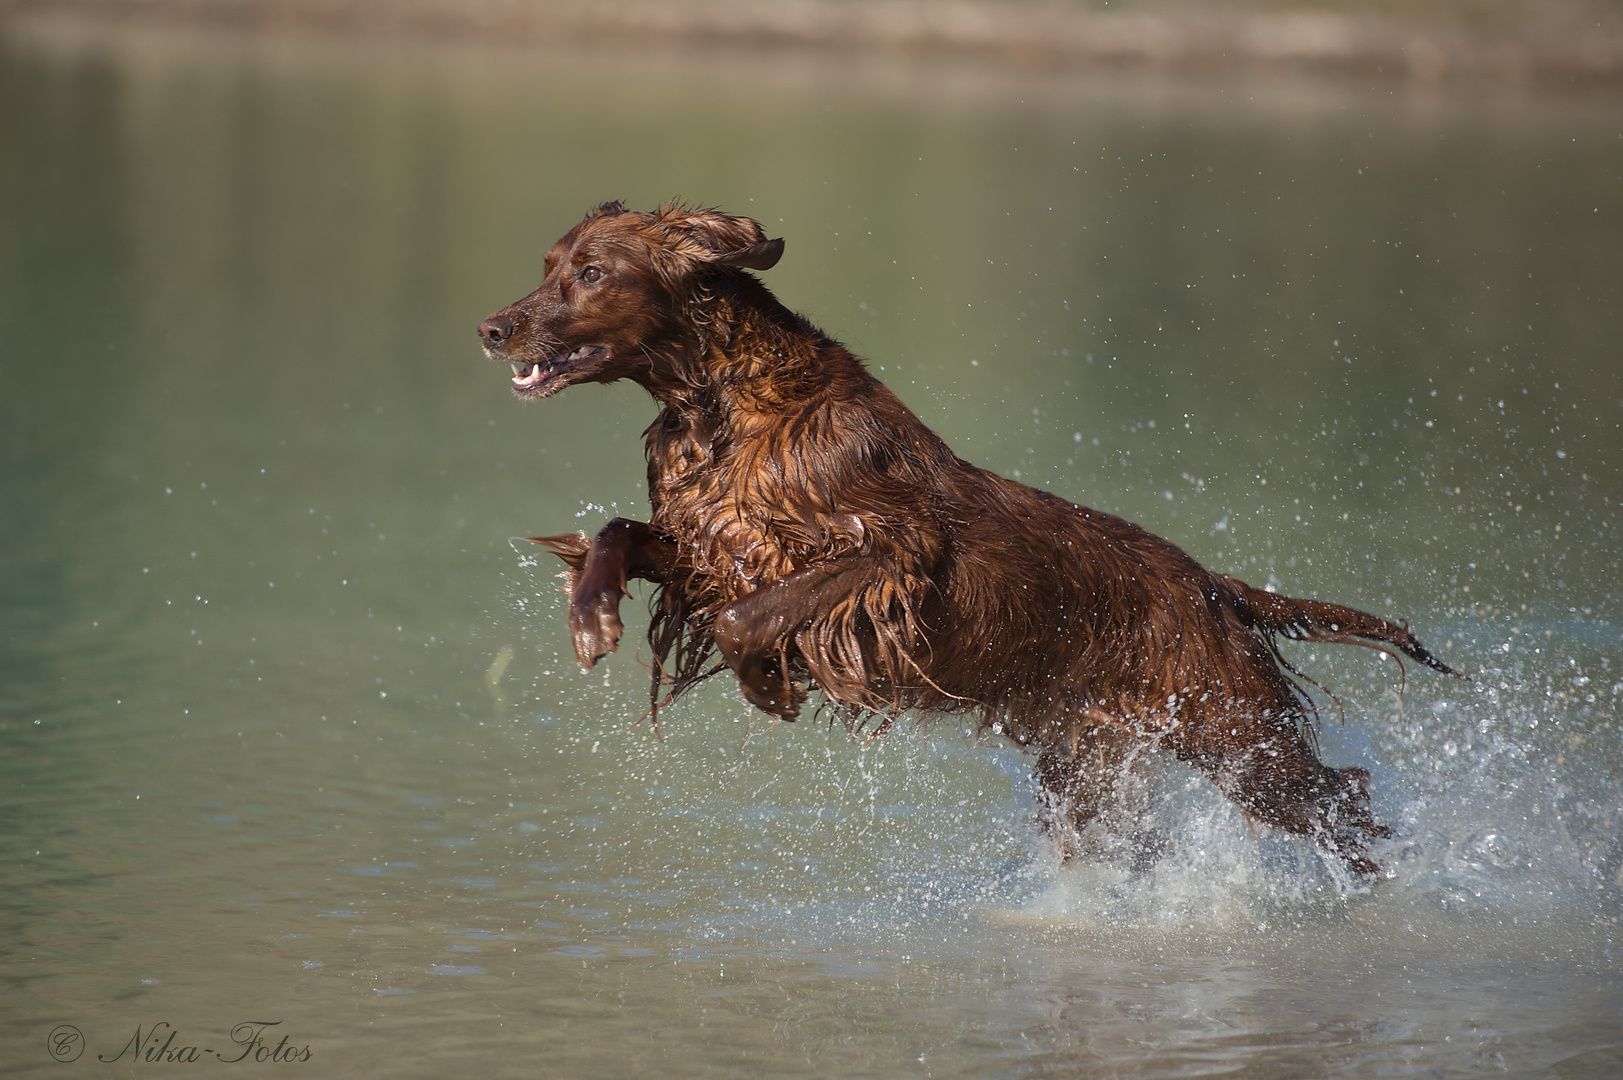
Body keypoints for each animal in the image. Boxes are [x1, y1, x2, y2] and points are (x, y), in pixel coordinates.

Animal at [473, 204, 1454, 876]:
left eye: (591, 272)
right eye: (549, 266)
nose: (491, 327)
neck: (722, 408)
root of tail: (1213, 585)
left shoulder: (893, 557)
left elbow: (748, 619)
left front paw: (766, 683)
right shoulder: (714, 548)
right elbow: (623, 536)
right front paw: (591, 616)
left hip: (1235, 735)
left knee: (1341, 800)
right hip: (1094, 762)